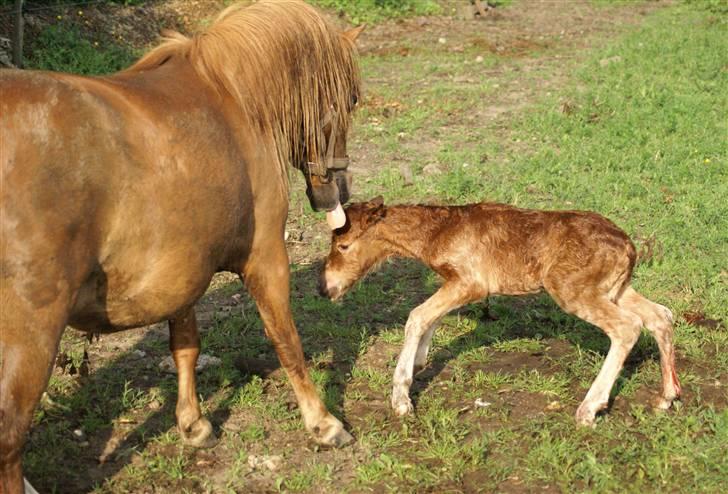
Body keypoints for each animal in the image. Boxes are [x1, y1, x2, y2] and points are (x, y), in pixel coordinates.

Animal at [0, 1, 362, 492]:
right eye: (351, 99)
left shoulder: (183, 269)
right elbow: (286, 340)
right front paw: (323, 423)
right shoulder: (266, 259)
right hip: (31, 332)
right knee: (10, 434)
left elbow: (186, 345)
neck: (231, 98)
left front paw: (194, 425)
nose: (337, 192)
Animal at [322, 197, 680, 424]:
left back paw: (588, 409)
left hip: (572, 288)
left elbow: (417, 316)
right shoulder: (455, 283)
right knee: (660, 315)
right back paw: (667, 397)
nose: (325, 289)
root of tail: (630, 249)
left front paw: (401, 399)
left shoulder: (471, 282)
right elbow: (431, 316)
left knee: (628, 327)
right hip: (615, 289)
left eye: (344, 246)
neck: (437, 233)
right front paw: (421, 361)